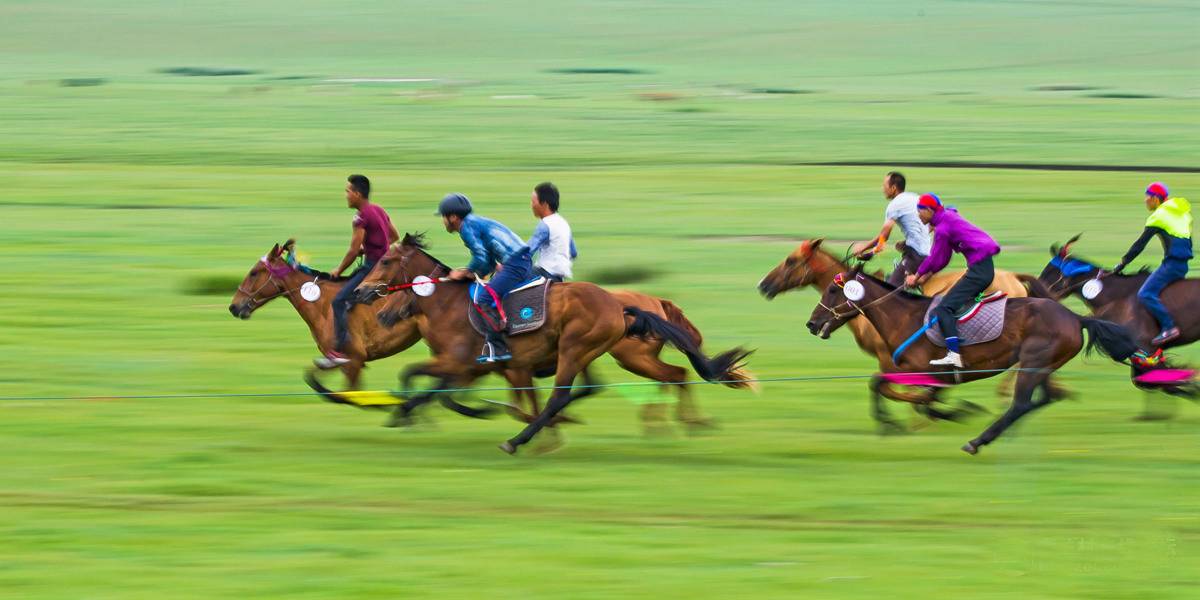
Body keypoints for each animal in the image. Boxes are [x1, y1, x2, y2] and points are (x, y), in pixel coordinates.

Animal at [348, 234, 748, 453]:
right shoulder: (490, 369)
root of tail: (626, 305)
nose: (363, 293)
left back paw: (518, 440)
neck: (449, 306)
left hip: (585, 351)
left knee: (569, 393)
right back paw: (686, 424)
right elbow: (437, 390)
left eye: (386, 260)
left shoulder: (464, 363)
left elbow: (415, 376)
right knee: (665, 375)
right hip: (595, 354)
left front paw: (405, 413)